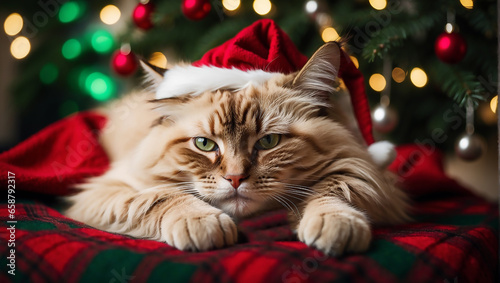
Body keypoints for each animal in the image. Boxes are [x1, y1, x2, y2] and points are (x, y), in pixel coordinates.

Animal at [64, 42, 408, 258]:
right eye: (204, 144)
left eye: (268, 142)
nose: (235, 179)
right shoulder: (107, 190)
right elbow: (164, 196)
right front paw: (202, 223)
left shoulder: (366, 174)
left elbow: (332, 190)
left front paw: (334, 224)